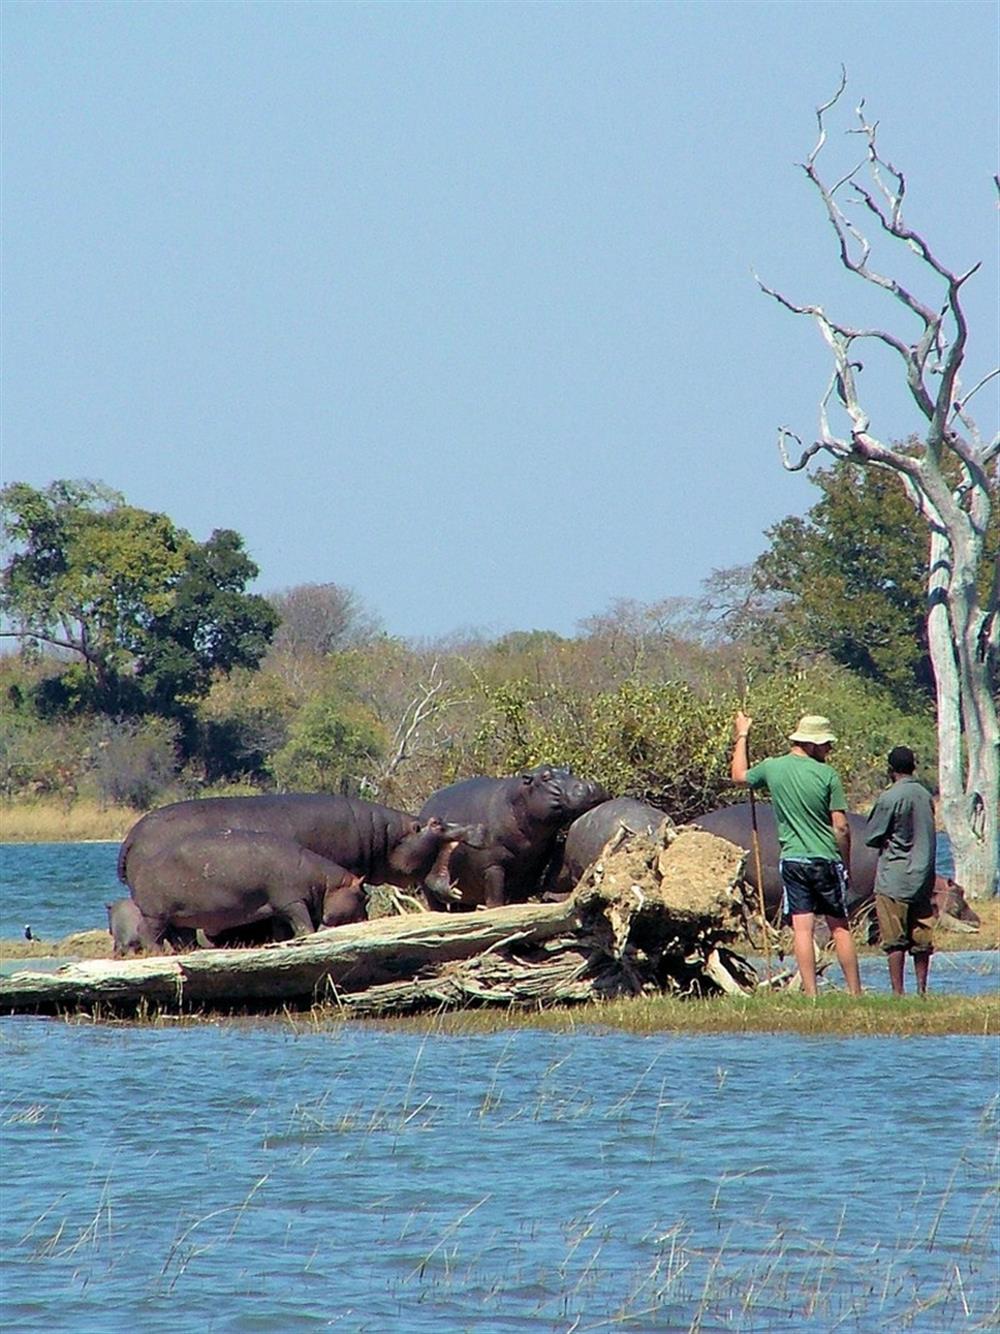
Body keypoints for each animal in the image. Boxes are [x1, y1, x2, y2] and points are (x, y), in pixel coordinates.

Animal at [416, 763, 610, 907]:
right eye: (545, 777)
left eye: (569, 769)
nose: (591, 786)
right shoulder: (492, 867)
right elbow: (495, 901)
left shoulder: (533, 870)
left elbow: (519, 901)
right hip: (430, 885)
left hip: (463, 891)